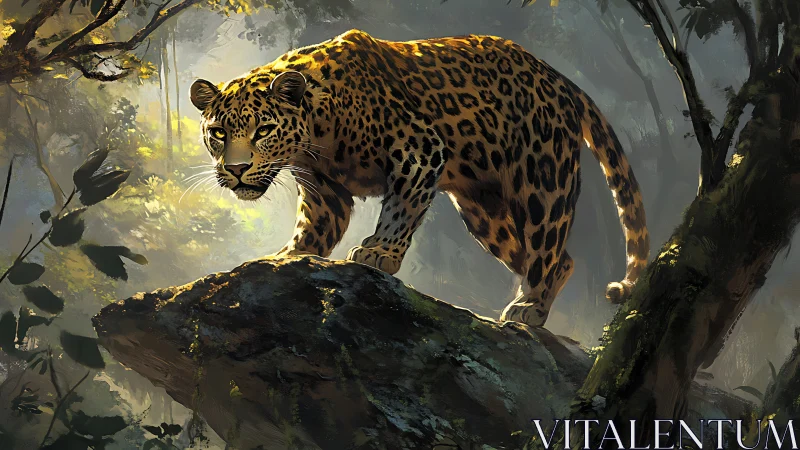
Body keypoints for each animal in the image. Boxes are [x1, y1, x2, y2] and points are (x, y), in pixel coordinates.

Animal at [189, 29, 650, 327]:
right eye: (219, 133)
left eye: (263, 130)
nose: (236, 169)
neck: (316, 129)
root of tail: (562, 81)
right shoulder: (325, 194)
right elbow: (312, 233)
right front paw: (283, 259)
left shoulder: (419, 148)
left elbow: (401, 209)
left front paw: (379, 253)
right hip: (485, 214)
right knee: (558, 259)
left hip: (542, 181)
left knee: (546, 247)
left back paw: (529, 307)